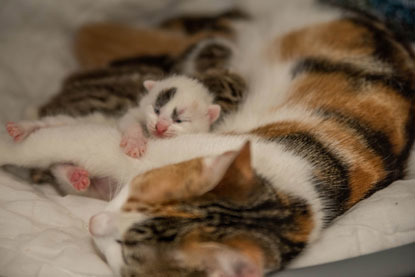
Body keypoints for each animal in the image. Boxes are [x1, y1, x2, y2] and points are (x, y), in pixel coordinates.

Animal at [0, 1, 414, 274]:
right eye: (140, 193)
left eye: (125, 248)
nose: (94, 224)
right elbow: (65, 139)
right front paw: (17, 142)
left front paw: (73, 173)